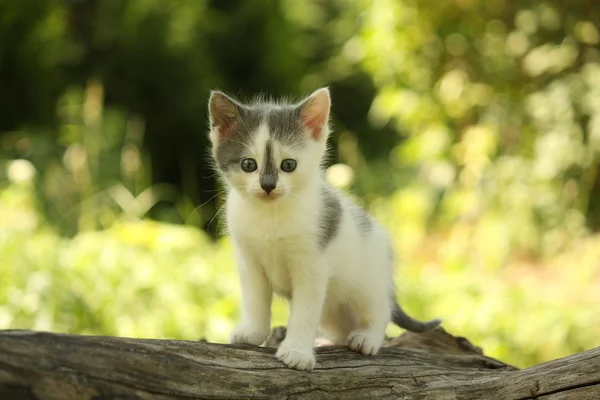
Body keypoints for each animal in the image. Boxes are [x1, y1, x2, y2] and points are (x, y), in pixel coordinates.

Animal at [207, 88, 440, 372]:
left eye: (289, 165)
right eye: (248, 165)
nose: (268, 185)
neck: (271, 215)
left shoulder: (312, 268)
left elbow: (304, 313)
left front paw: (297, 352)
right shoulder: (249, 262)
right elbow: (255, 300)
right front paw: (253, 332)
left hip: (368, 284)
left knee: (379, 311)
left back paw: (367, 338)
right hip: (333, 307)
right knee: (339, 326)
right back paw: (326, 341)